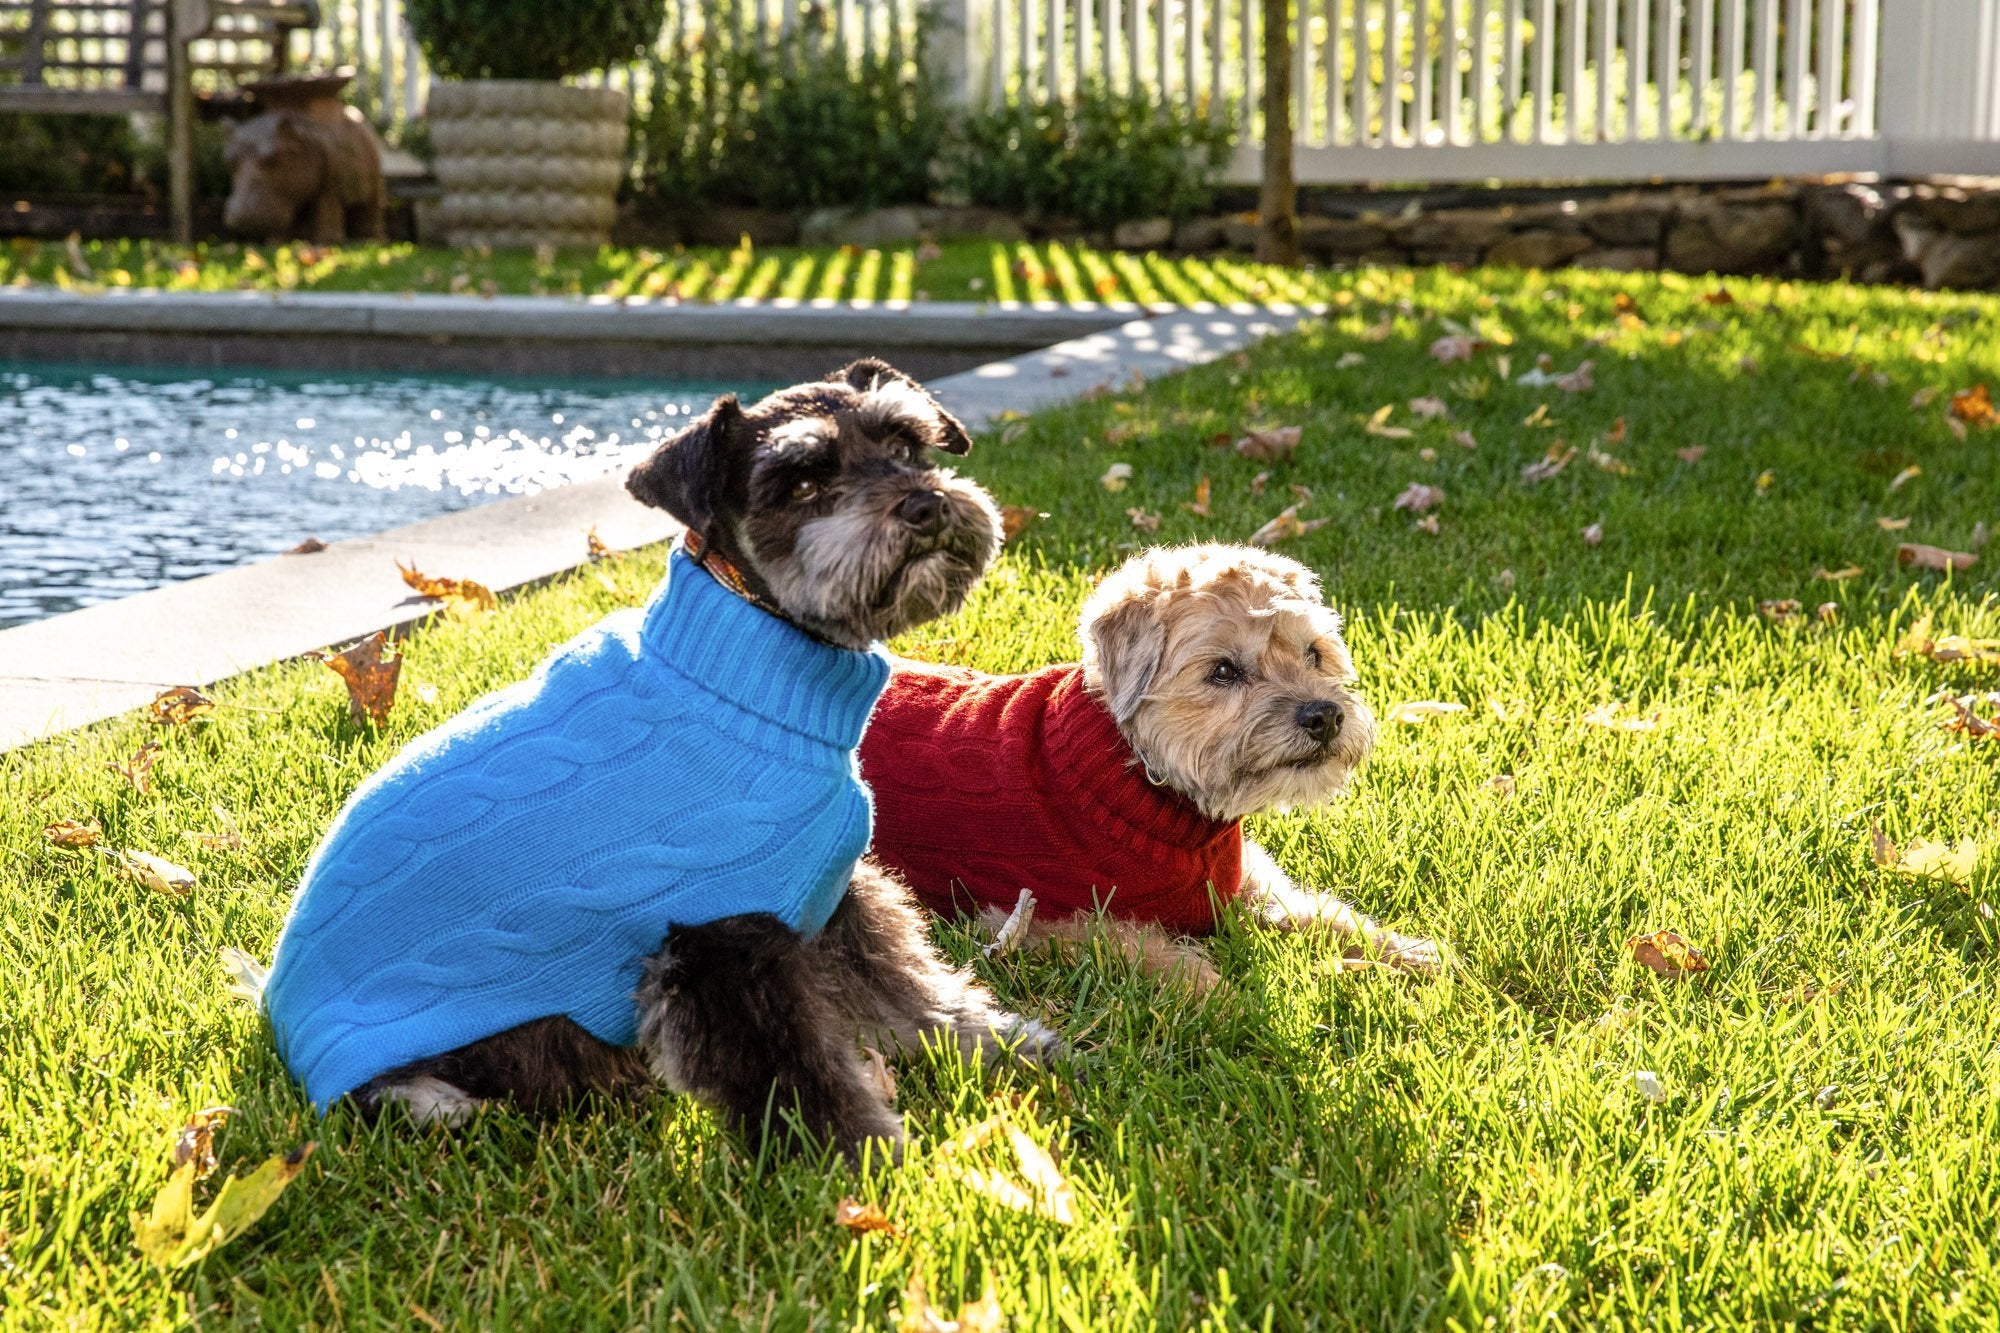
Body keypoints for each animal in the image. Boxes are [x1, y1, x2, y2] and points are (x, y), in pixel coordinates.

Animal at [860, 540, 1440, 984]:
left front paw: (1409, 952)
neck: (1140, 776)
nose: (1324, 716)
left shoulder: (1246, 881)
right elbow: (1166, 959)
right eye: (1223, 671)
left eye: (1314, 654)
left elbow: (1321, 912)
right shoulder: (1037, 919)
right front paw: (1232, 1004)